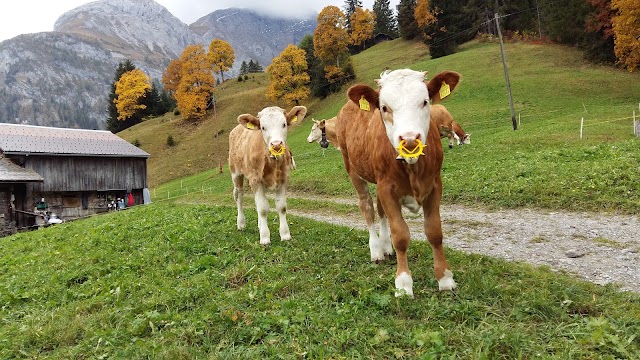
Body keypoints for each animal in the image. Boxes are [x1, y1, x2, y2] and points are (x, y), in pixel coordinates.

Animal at [228, 104, 308, 245]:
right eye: (263, 127)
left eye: (284, 124)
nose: (276, 144)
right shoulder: (256, 180)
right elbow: (263, 209)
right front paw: (265, 237)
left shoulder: (283, 179)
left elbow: (281, 207)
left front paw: (285, 234)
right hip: (236, 173)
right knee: (239, 196)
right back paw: (241, 224)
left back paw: (259, 225)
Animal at [336, 69, 460, 296]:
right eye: (384, 107)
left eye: (425, 101)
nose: (410, 139)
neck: (412, 168)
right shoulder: (387, 188)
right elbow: (400, 236)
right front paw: (403, 284)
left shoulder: (434, 185)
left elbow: (434, 232)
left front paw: (445, 278)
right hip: (353, 170)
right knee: (367, 207)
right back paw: (376, 250)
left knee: (380, 210)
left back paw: (386, 248)